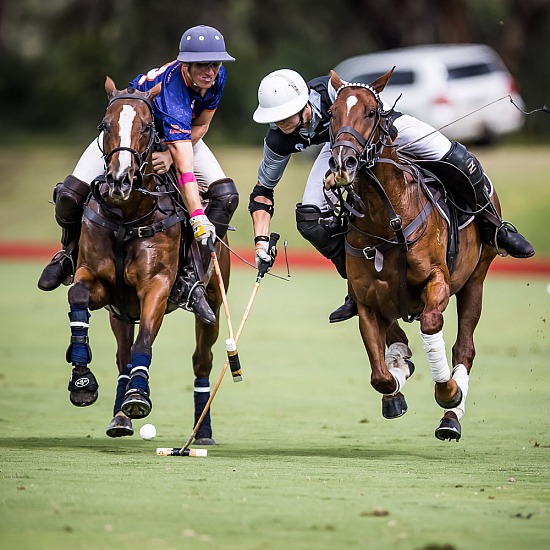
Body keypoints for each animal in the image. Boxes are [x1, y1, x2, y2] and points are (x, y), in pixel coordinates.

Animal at [67, 77, 231, 446]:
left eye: (146, 127)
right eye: (104, 125)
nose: (119, 181)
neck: (128, 216)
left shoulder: (156, 285)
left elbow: (146, 342)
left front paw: (139, 395)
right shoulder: (98, 282)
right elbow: (78, 296)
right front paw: (82, 380)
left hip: (213, 303)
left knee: (202, 360)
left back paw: (202, 433)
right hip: (120, 313)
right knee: (122, 357)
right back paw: (119, 417)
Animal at [328, 70, 500, 444]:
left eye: (371, 113)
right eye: (332, 114)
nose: (343, 163)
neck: (385, 217)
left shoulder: (437, 280)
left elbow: (432, 324)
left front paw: (448, 392)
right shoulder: (366, 300)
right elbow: (380, 376)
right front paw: (396, 379)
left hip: (476, 280)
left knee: (464, 348)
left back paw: (451, 418)